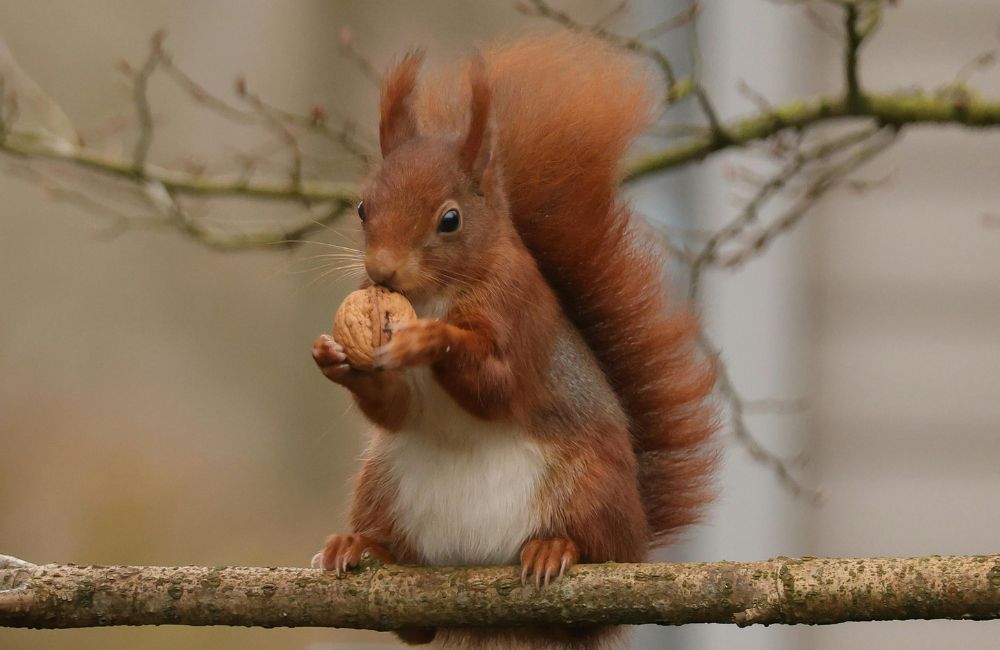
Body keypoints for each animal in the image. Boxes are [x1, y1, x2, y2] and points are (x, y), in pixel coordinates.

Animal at [310, 32, 717, 649]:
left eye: (450, 219)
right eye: (362, 207)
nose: (381, 272)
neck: (434, 294)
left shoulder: (518, 313)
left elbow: (499, 386)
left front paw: (431, 339)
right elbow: (394, 408)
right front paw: (334, 357)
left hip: (592, 489)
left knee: (596, 553)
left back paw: (556, 549)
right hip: (381, 487)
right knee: (412, 622)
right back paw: (362, 546)